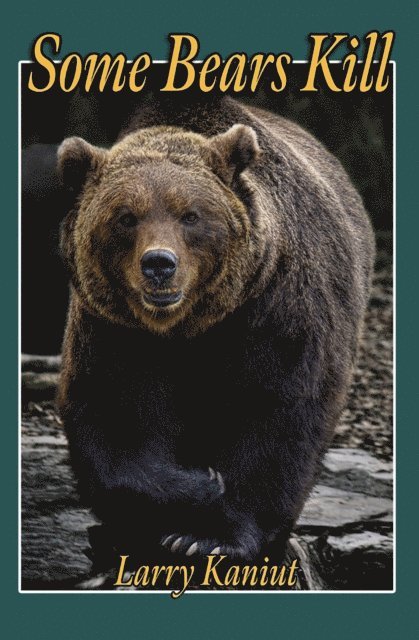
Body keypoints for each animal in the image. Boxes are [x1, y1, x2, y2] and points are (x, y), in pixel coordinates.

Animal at [56, 95, 375, 565]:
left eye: (191, 215)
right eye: (125, 217)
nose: (159, 264)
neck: (187, 327)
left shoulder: (274, 311)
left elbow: (277, 410)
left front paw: (210, 535)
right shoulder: (114, 328)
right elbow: (114, 415)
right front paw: (199, 488)